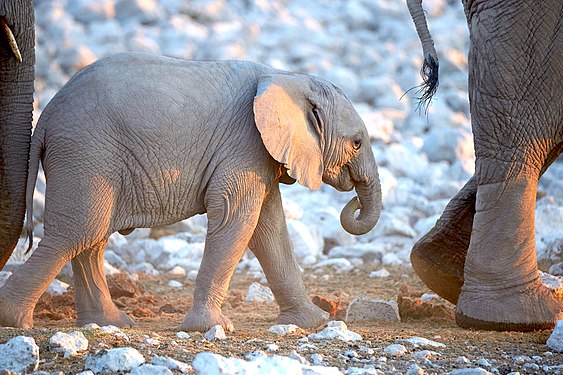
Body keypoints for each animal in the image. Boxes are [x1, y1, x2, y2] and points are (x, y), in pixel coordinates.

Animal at [0, 52, 384, 332]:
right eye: (357, 142)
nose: (352, 202)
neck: (287, 76)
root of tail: (46, 113)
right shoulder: (243, 144)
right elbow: (237, 219)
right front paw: (212, 327)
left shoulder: (258, 153)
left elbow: (269, 228)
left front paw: (314, 322)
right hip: (86, 153)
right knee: (78, 233)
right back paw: (13, 321)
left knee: (90, 238)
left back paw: (111, 323)